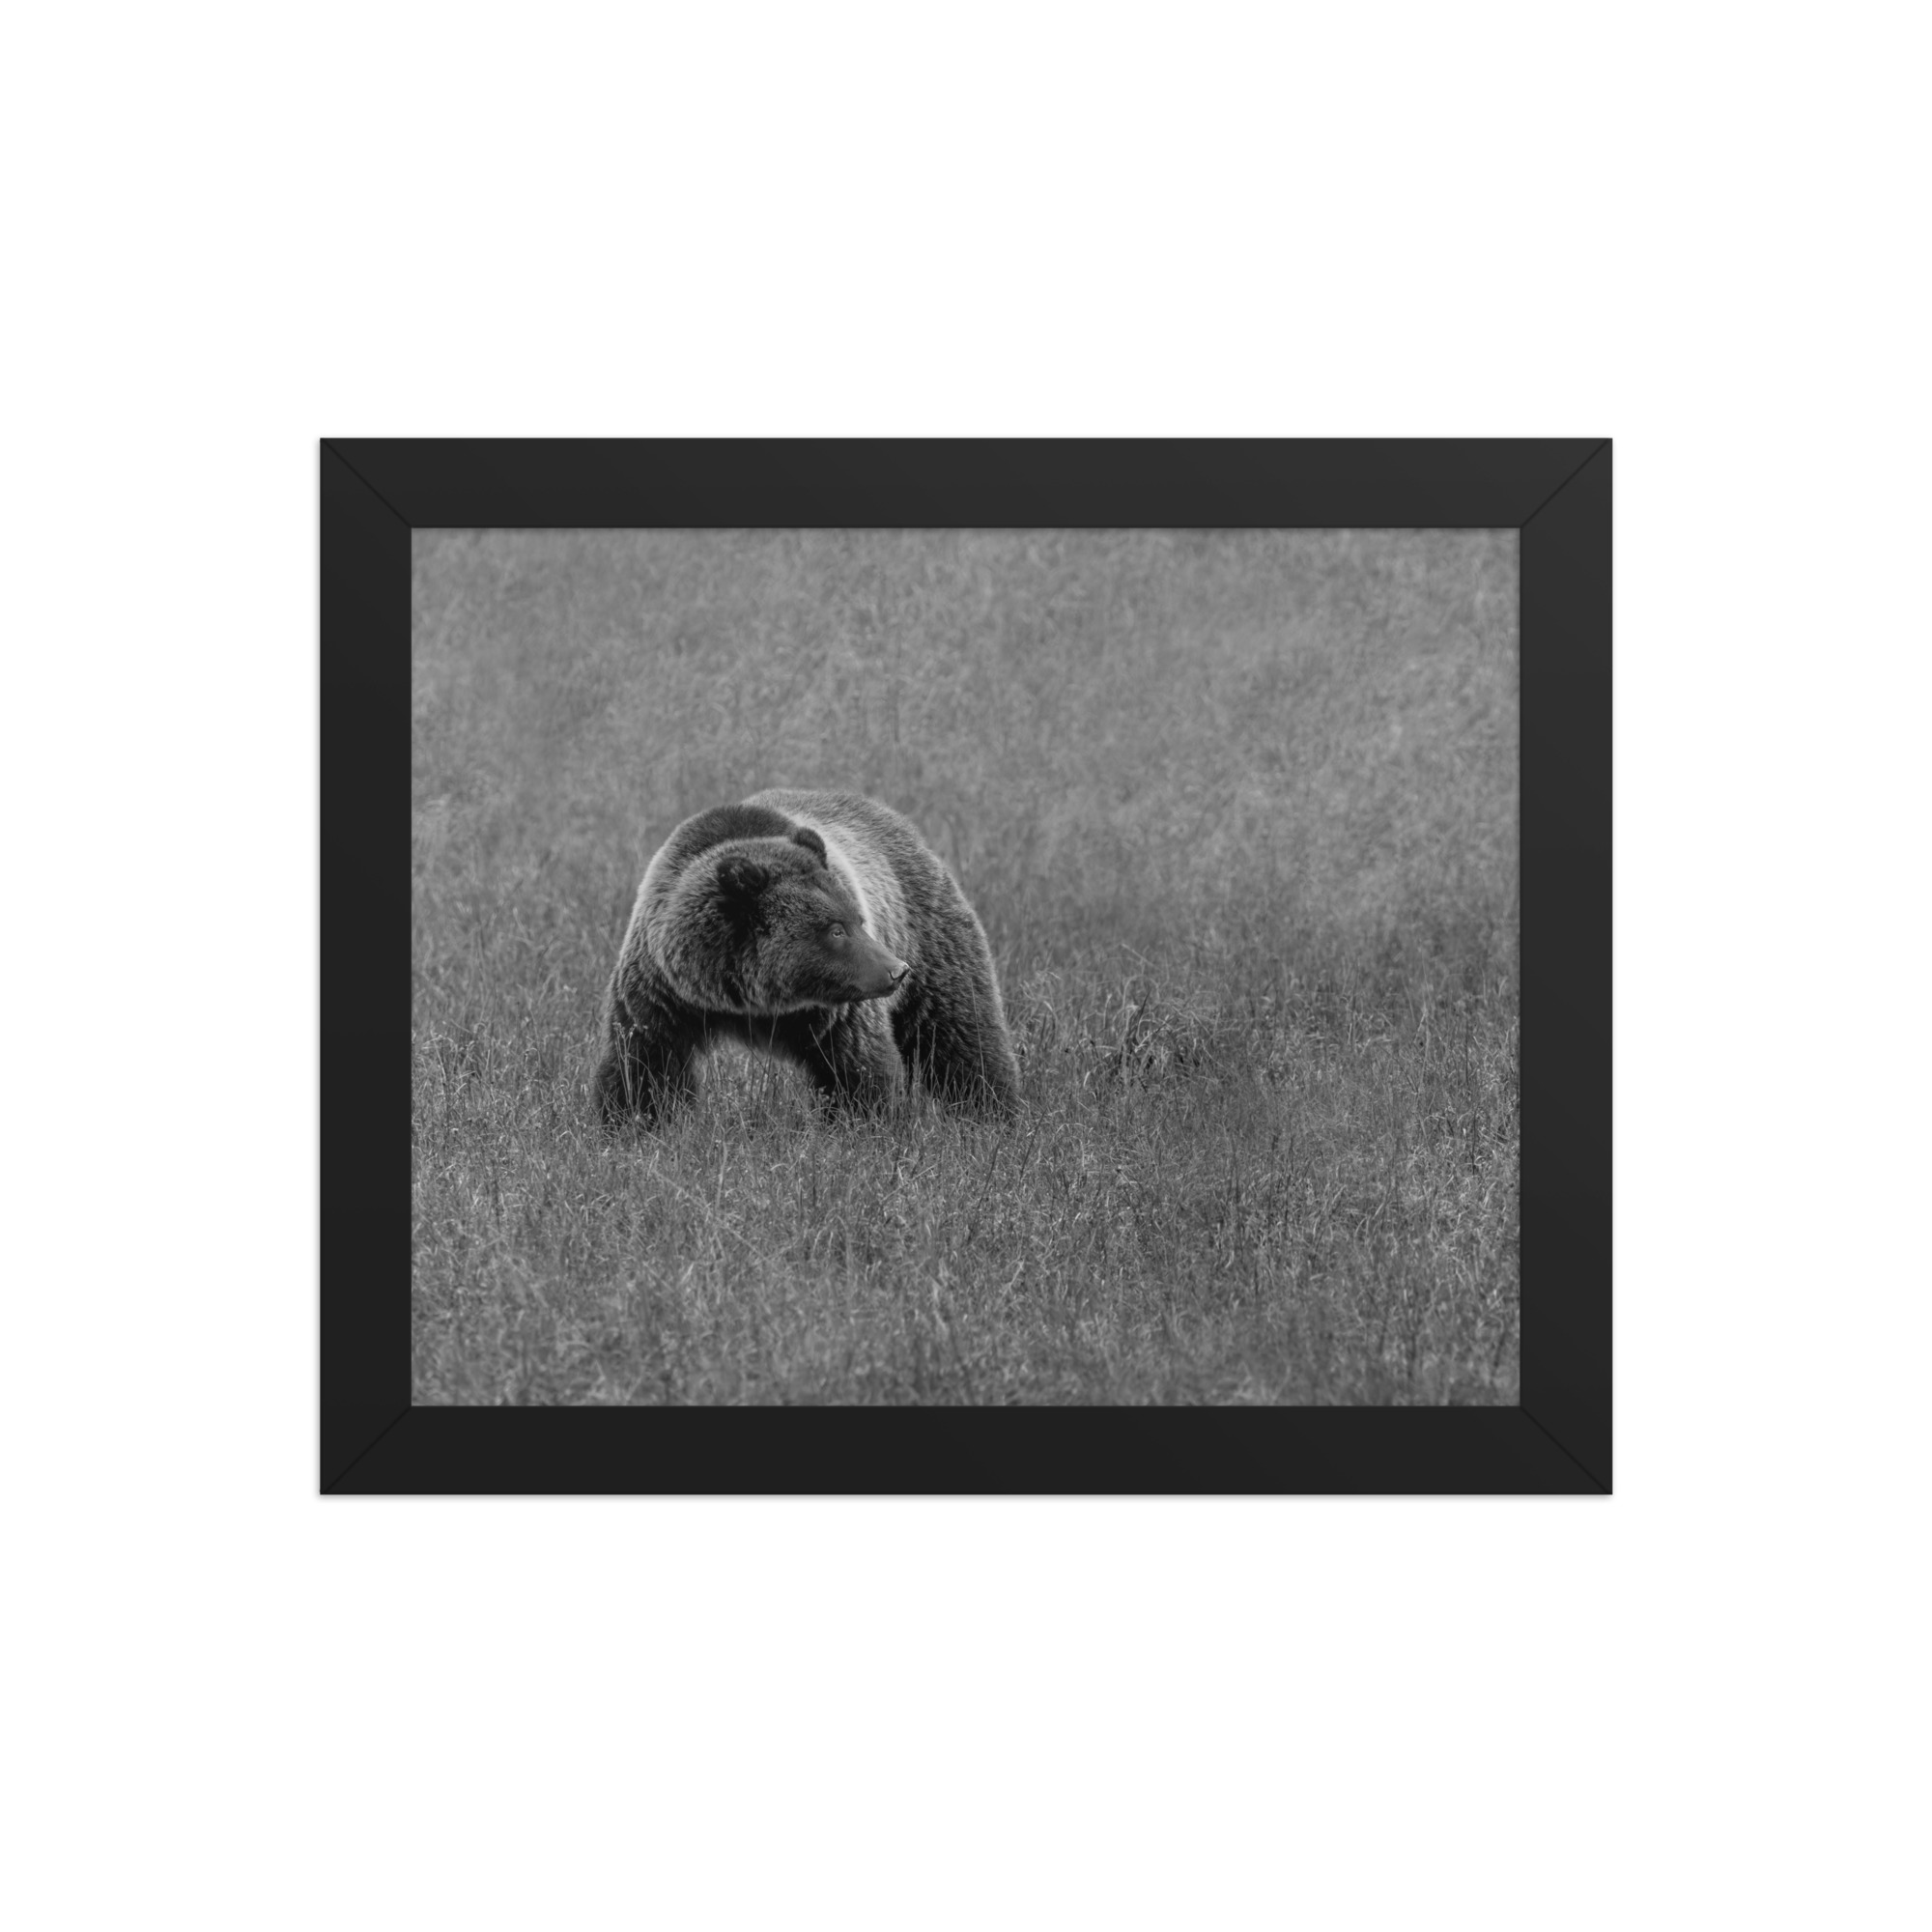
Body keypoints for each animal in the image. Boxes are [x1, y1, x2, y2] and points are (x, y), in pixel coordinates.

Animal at [592, 789, 1020, 1124]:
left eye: (858, 919)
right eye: (835, 929)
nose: (896, 971)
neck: (752, 1000)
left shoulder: (837, 1011)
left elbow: (858, 1069)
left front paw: (866, 1126)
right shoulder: (664, 993)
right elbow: (644, 1065)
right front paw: (632, 1124)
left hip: (929, 937)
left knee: (960, 1034)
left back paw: (994, 1114)